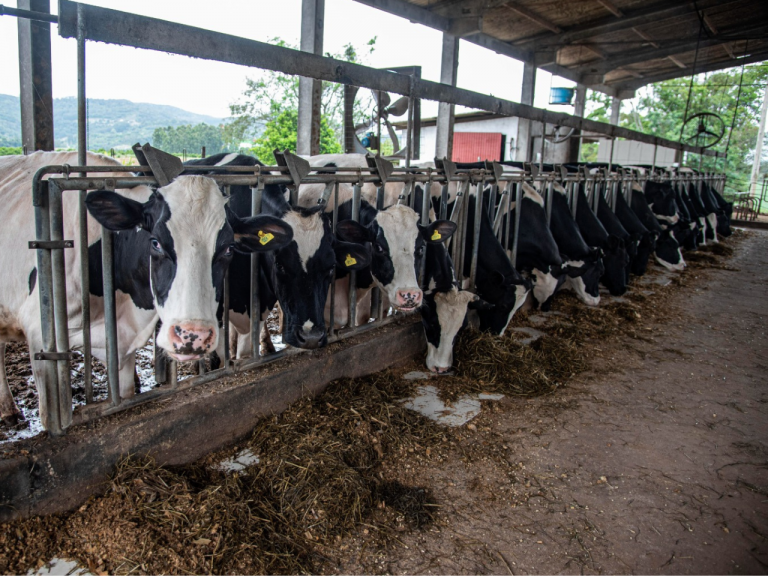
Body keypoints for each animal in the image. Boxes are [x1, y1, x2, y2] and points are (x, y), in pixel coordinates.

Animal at [0, 151, 294, 430]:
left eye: (229, 249)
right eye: (155, 243)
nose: (192, 337)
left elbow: (126, 394)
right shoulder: (40, 336)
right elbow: (49, 414)